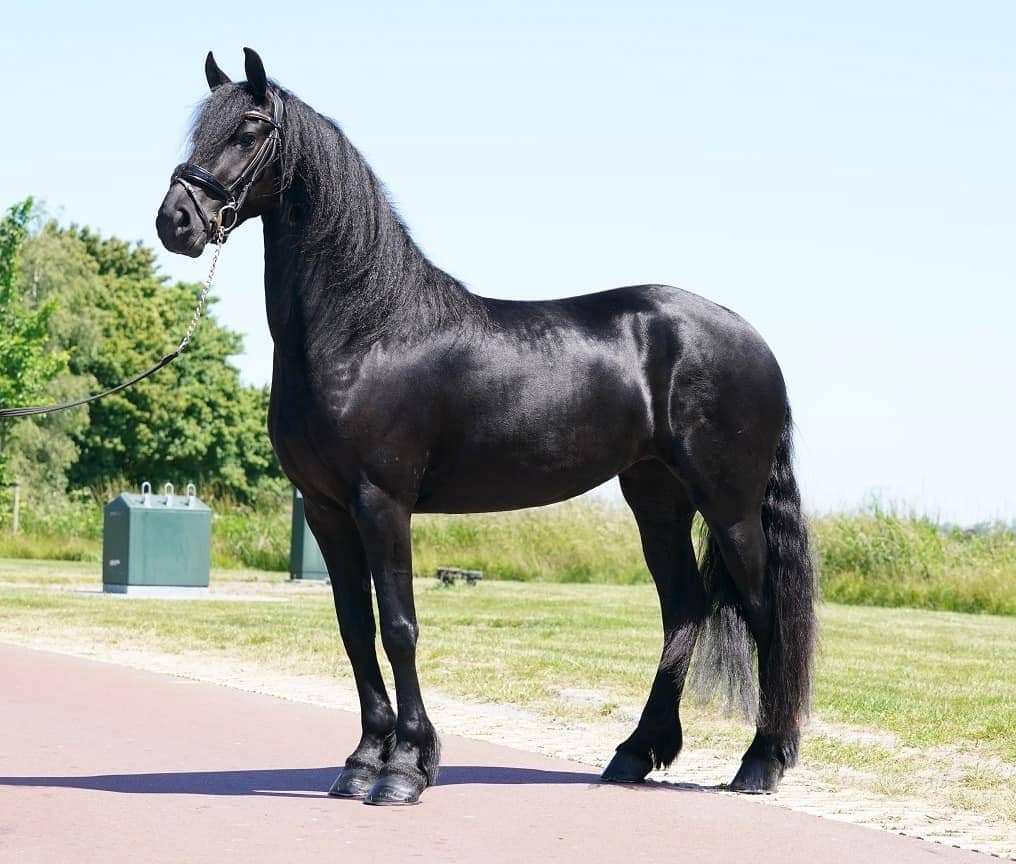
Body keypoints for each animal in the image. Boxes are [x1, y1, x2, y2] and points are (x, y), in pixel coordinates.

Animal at [157, 48, 816, 806]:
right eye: (200, 129)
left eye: (249, 128)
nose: (176, 222)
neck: (364, 331)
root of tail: (749, 336)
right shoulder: (325, 509)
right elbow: (355, 628)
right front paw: (362, 762)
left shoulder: (382, 503)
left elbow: (400, 627)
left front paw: (406, 769)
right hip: (656, 497)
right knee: (684, 608)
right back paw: (633, 754)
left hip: (729, 503)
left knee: (764, 613)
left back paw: (759, 763)